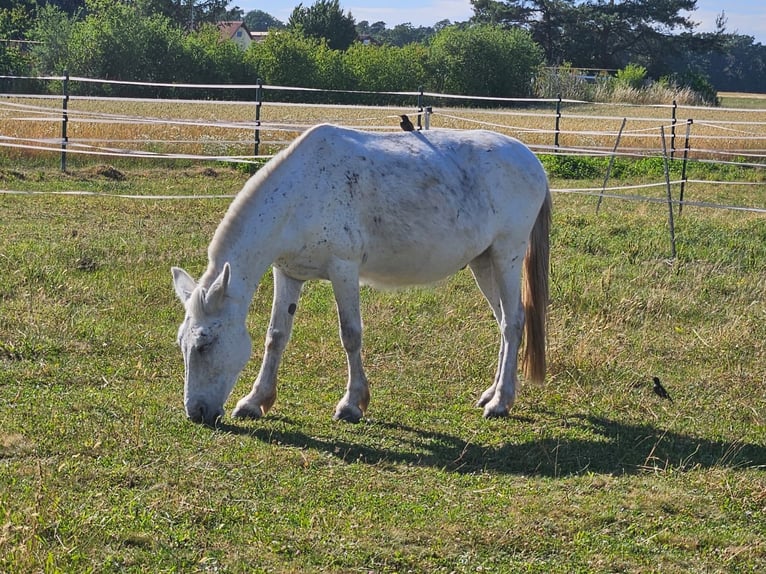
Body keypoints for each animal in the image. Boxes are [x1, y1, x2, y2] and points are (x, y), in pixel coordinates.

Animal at [172, 123, 551, 426]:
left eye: (205, 345)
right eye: (182, 343)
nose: (196, 413)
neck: (300, 193)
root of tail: (531, 160)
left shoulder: (343, 268)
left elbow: (350, 335)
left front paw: (352, 404)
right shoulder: (288, 273)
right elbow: (276, 336)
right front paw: (255, 401)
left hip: (506, 255)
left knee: (513, 322)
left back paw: (501, 402)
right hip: (483, 262)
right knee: (503, 321)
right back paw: (492, 392)